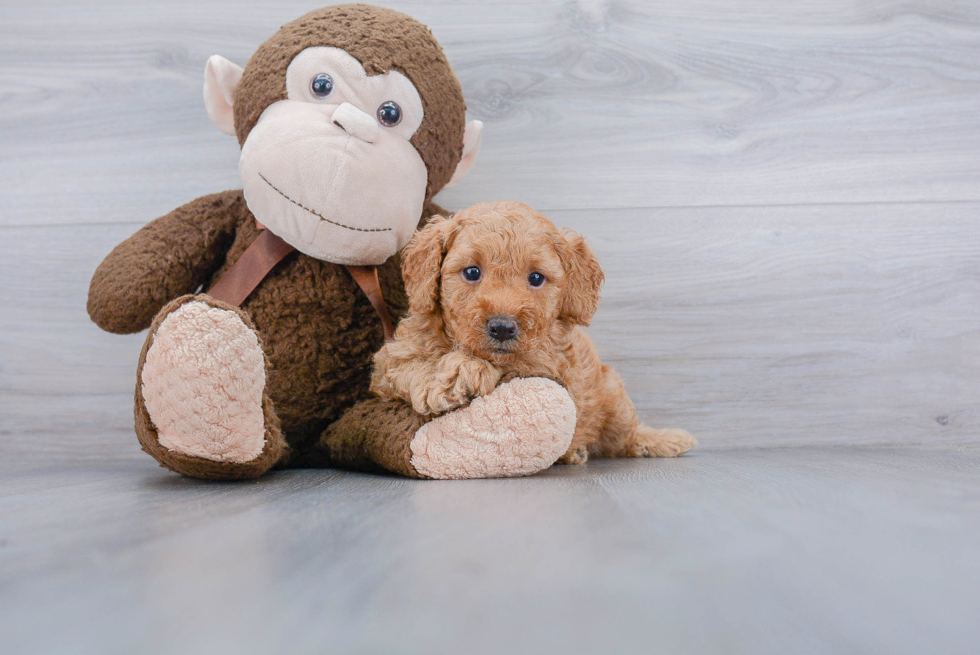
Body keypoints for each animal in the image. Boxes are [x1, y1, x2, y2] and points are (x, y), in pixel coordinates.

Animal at [370, 202, 696, 464]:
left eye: (536, 278)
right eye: (472, 272)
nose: (502, 327)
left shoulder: (548, 368)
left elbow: (513, 366)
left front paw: (464, 369)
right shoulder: (389, 362)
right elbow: (407, 365)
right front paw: (442, 378)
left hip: (613, 395)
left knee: (626, 437)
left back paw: (656, 440)